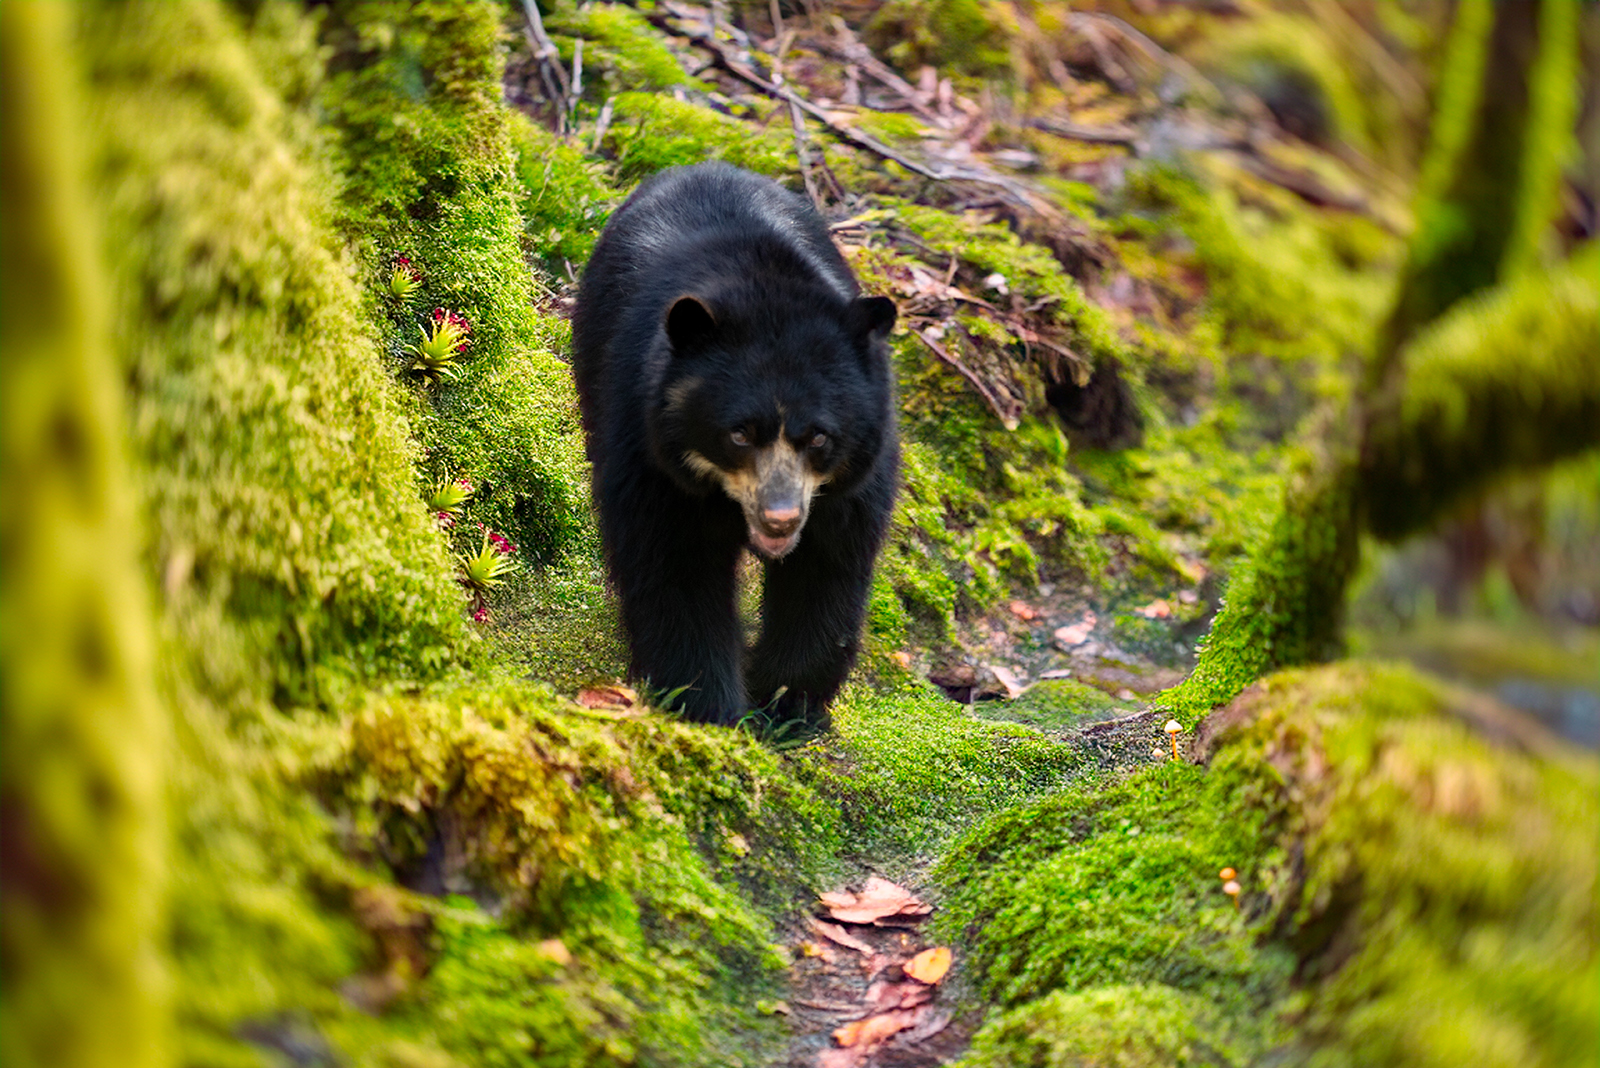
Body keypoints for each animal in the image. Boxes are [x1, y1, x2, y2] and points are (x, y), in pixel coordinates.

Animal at [572, 163, 902, 729]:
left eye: (819, 436)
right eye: (740, 433)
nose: (781, 519)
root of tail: (701, 167)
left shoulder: (853, 479)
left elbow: (827, 567)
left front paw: (787, 705)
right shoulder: (648, 449)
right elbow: (674, 565)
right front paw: (707, 706)